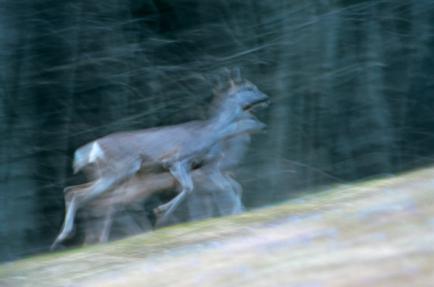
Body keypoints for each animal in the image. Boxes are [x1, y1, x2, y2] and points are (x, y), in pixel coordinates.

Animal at [50, 68, 268, 250]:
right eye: (249, 87)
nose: (265, 97)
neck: (209, 133)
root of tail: (92, 147)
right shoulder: (177, 160)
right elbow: (190, 188)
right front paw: (161, 212)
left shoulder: (200, 167)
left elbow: (220, 188)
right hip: (120, 170)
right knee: (85, 197)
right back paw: (65, 237)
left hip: (112, 175)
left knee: (74, 192)